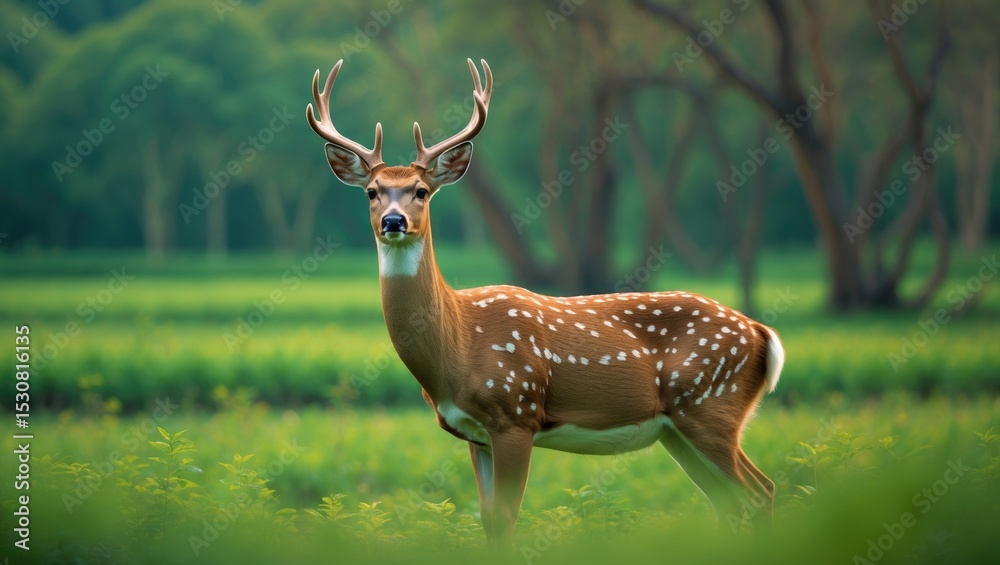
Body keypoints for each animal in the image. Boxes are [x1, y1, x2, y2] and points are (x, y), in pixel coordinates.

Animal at [306, 58, 785, 549]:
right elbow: (488, 518)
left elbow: (506, 517)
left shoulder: (515, 412)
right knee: (731, 503)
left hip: (710, 405)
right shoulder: (474, 434)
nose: (393, 221)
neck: (458, 347)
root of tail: (761, 333)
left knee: (760, 491)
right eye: (372, 191)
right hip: (679, 429)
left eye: (421, 190)